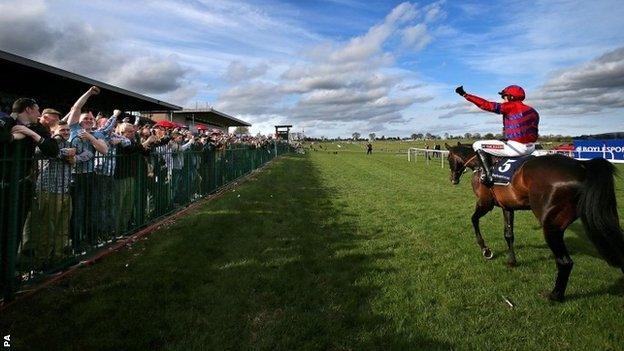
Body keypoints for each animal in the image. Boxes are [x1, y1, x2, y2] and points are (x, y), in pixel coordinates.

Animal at [444, 143, 624, 302]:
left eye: (449, 159)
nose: (453, 179)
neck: (481, 166)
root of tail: (582, 166)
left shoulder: (485, 203)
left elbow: (474, 220)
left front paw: (485, 250)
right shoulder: (507, 206)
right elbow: (508, 234)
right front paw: (512, 261)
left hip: (551, 226)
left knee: (565, 262)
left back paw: (555, 296)